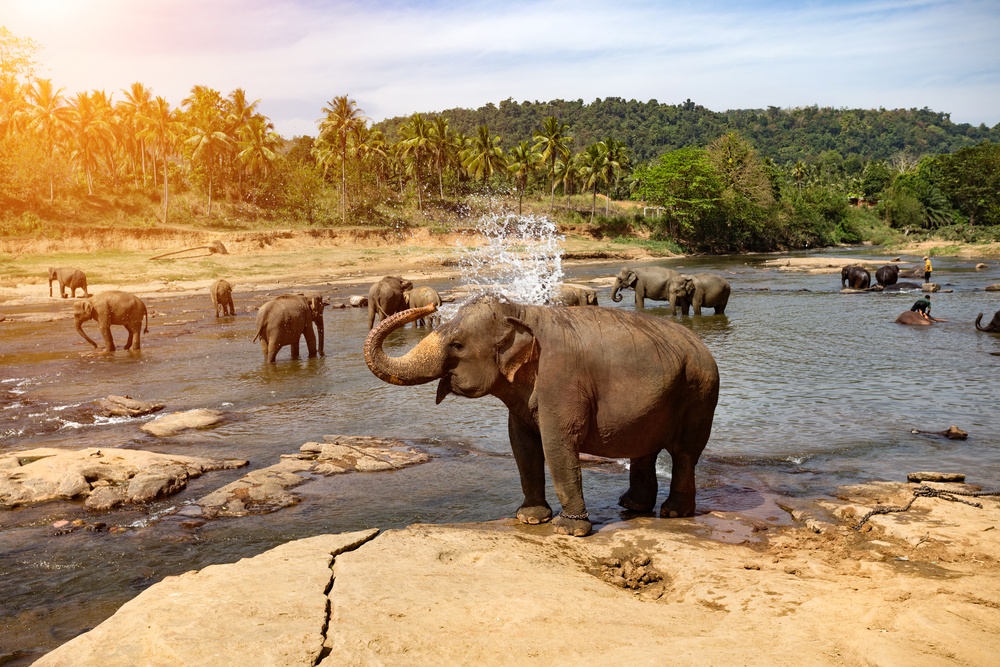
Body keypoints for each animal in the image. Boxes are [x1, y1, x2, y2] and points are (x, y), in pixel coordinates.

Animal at [363, 296, 720, 537]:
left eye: (457, 345)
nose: (429, 305)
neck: (521, 311)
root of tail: (701, 345)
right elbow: (522, 445)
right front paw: (531, 519)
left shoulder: (561, 380)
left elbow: (557, 443)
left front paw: (568, 530)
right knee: (645, 449)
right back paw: (632, 506)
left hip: (700, 392)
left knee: (685, 453)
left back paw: (673, 512)